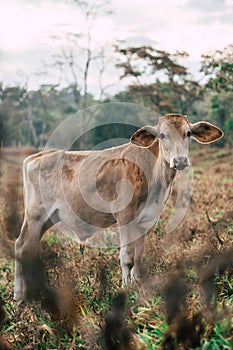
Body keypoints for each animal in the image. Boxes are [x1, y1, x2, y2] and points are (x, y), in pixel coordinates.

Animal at [13, 113, 224, 300]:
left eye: (188, 133)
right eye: (163, 135)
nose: (180, 160)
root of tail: (35, 157)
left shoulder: (144, 221)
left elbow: (138, 257)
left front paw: (138, 284)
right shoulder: (125, 216)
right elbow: (126, 256)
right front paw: (125, 287)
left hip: (47, 219)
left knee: (25, 248)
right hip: (35, 216)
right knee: (23, 248)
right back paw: (23, 298)